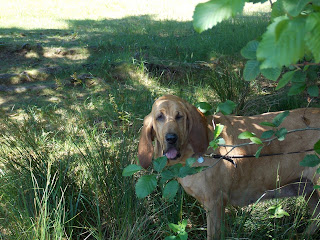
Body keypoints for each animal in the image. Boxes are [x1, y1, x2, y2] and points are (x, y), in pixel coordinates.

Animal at [139, 94, 320, 239]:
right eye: (159, 117)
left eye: (179, 116)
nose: (171, 138)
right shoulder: (218, 208)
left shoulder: (214, 203)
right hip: (309, 191)